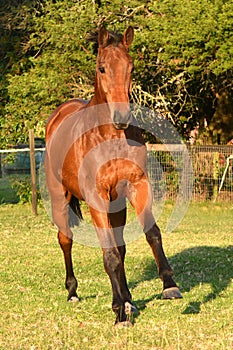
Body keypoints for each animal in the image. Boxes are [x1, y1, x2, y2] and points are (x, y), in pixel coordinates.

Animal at [44, 26, 181, 326]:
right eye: (102, 68)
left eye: (130, 67)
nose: (121, 117)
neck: (110, 138)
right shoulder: (97, 198)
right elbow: (109, 255)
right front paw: (119, 312)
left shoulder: (136, 186)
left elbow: (151, 234)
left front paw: (169, 286)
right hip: (60, 197)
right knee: (65, 239)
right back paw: (73, 292)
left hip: (116, 205)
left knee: (121, 246)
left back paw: (128, 299)